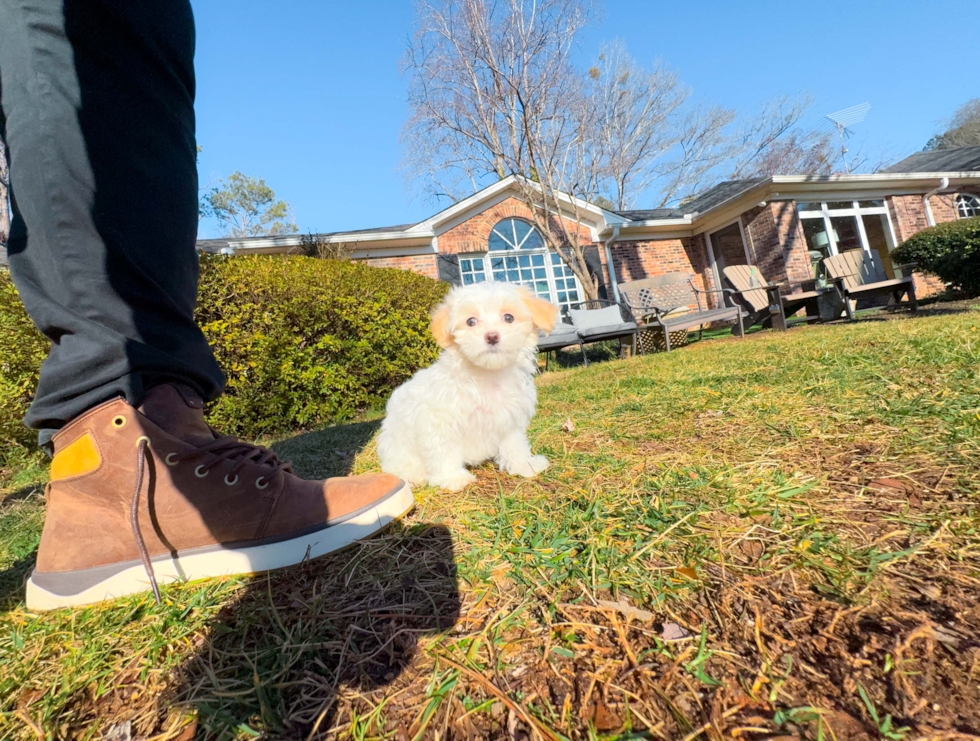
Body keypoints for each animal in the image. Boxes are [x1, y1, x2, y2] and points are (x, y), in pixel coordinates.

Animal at [378, 284, 556, 492]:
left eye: (509, 318)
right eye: (471, 321)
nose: (492, 336)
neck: (488, 374)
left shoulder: (510, 417)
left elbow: (514, 444)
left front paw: (525, 465)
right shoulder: (440, 419)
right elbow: (444, 450)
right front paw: (453, 478)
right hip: (397, 444)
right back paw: (411, 475)